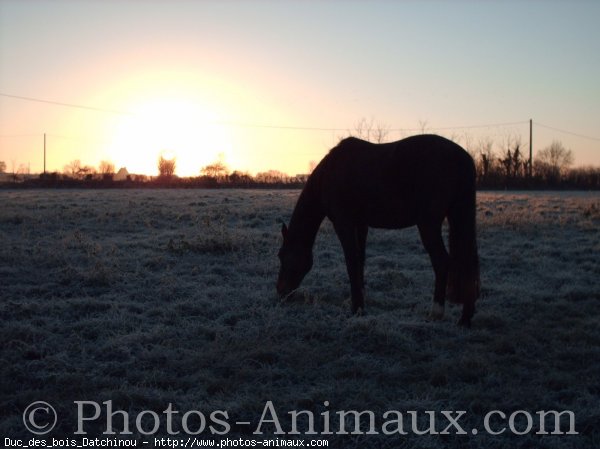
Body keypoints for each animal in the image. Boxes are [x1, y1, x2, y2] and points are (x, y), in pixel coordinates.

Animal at [274, 133, 480, 326]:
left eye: (282, 255)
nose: (281, 292)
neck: (328, 175)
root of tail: (464, 158)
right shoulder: (361, 224)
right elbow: (360, 260)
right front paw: (360, 298)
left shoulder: (343, 223)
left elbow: (351, 262)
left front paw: (357, 308)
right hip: (458, 215)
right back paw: (465, 318)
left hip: (429, 224)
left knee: (442, 262)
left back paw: (436, 312)